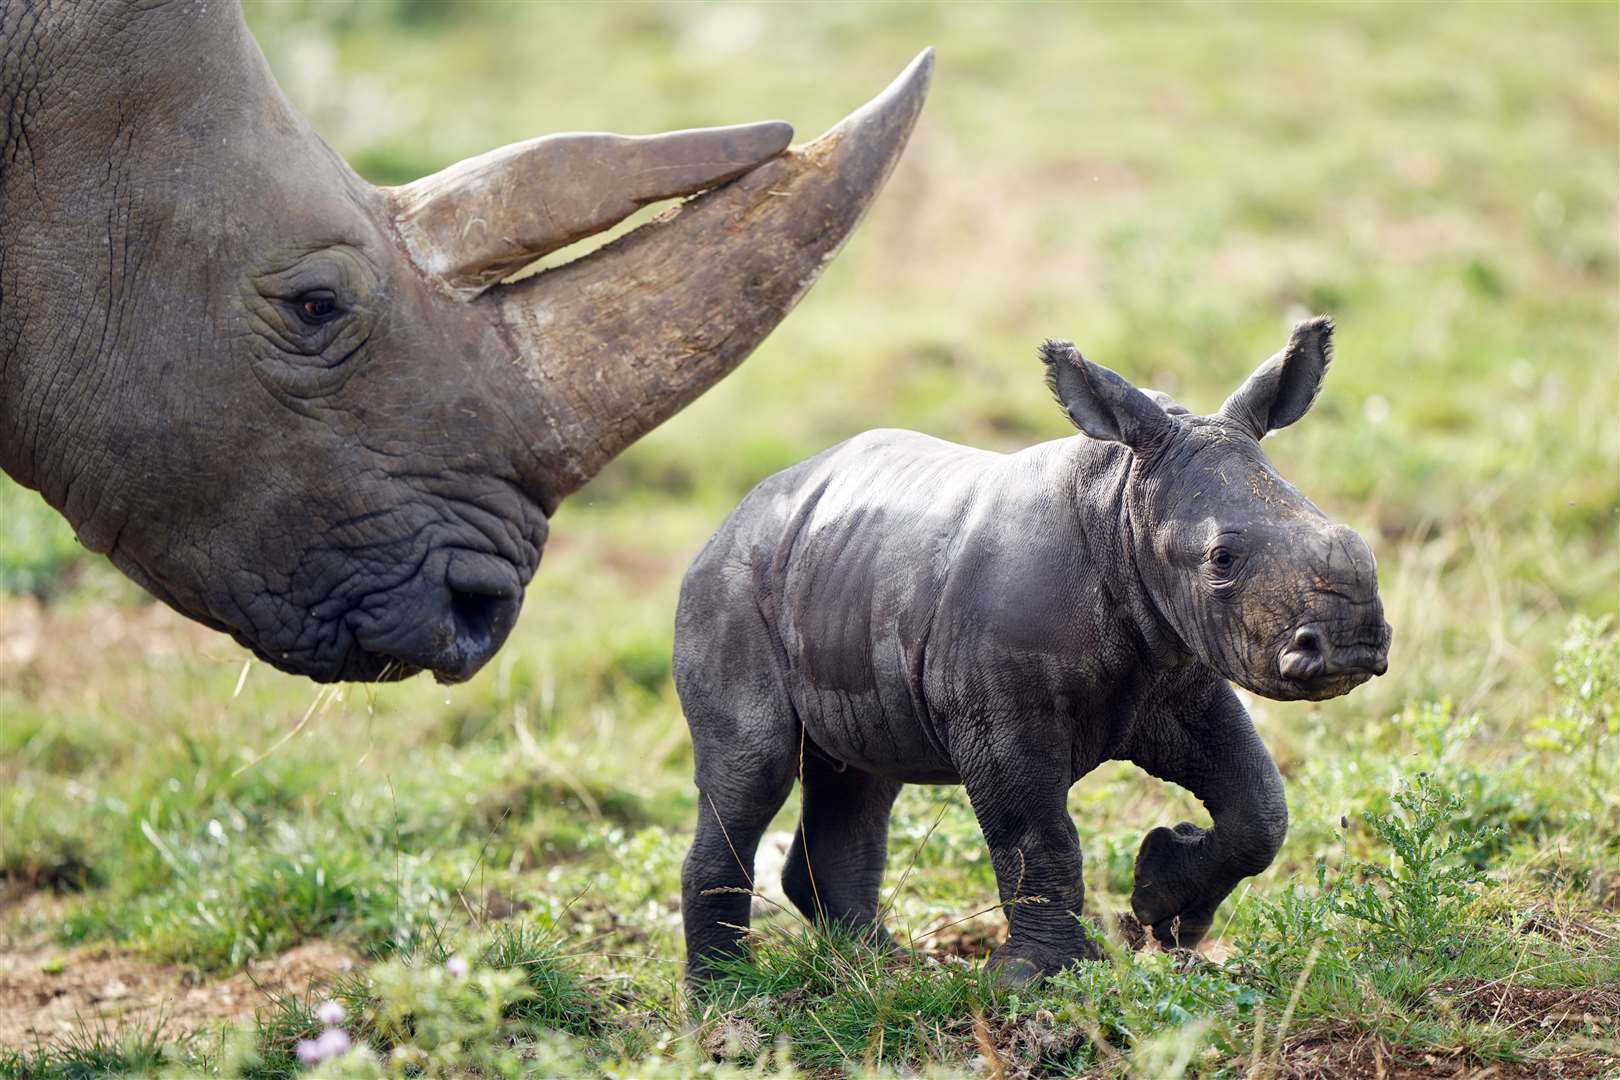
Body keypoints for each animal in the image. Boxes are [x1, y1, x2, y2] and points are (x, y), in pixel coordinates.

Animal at [670, 317, 1393, 984]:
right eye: (1221, 560)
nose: (1350, 646)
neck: (1121, 507)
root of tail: (733, 516)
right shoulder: (1001, 721)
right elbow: (1037, 837)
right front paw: (1042, 977)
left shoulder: (1176, 680)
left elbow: (1259, 805)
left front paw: (1162, 906)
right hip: (730, 587)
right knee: (756, 767)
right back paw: (727, 997)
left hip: (848, 575)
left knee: (863, 775)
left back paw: (887, 972)